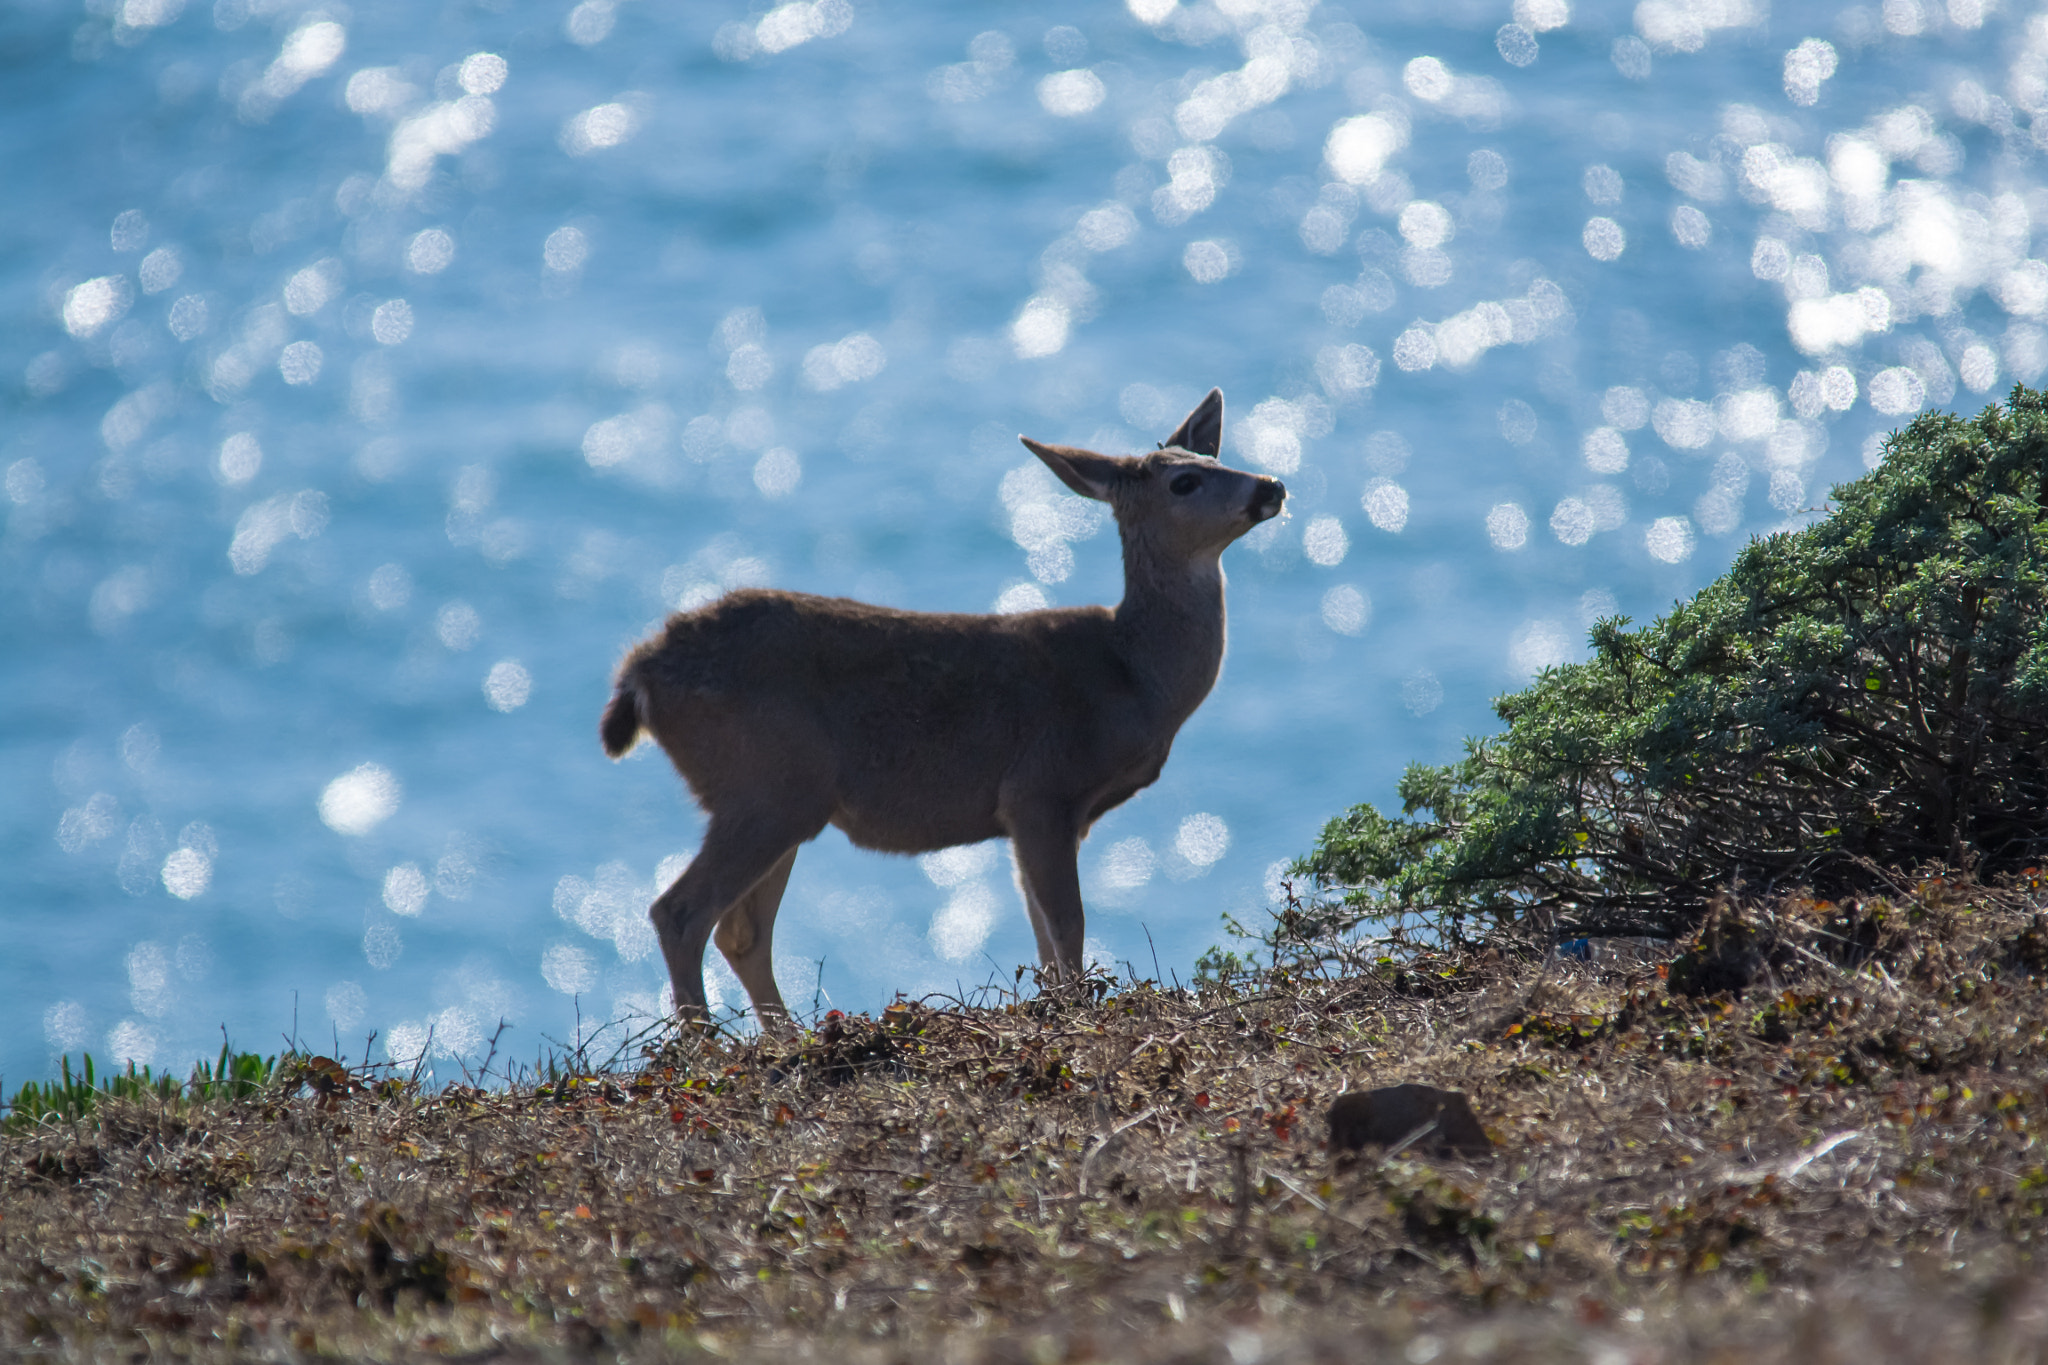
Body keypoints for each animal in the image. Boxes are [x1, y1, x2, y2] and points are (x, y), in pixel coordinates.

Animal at [599, 389, 1285, 1029]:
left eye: (1213, 457)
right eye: (1184, 481)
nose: (1272, 485)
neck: (1133, 677)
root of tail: (640, 671)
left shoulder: (1034, 816)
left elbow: (1041, 929)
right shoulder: (1041, 787)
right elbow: (1067, 922)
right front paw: (1074, 1011)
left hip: (780, 795)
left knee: (740, 930)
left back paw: (786, 1038)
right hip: (766, 782)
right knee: (681, 912)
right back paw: (706, 1046)